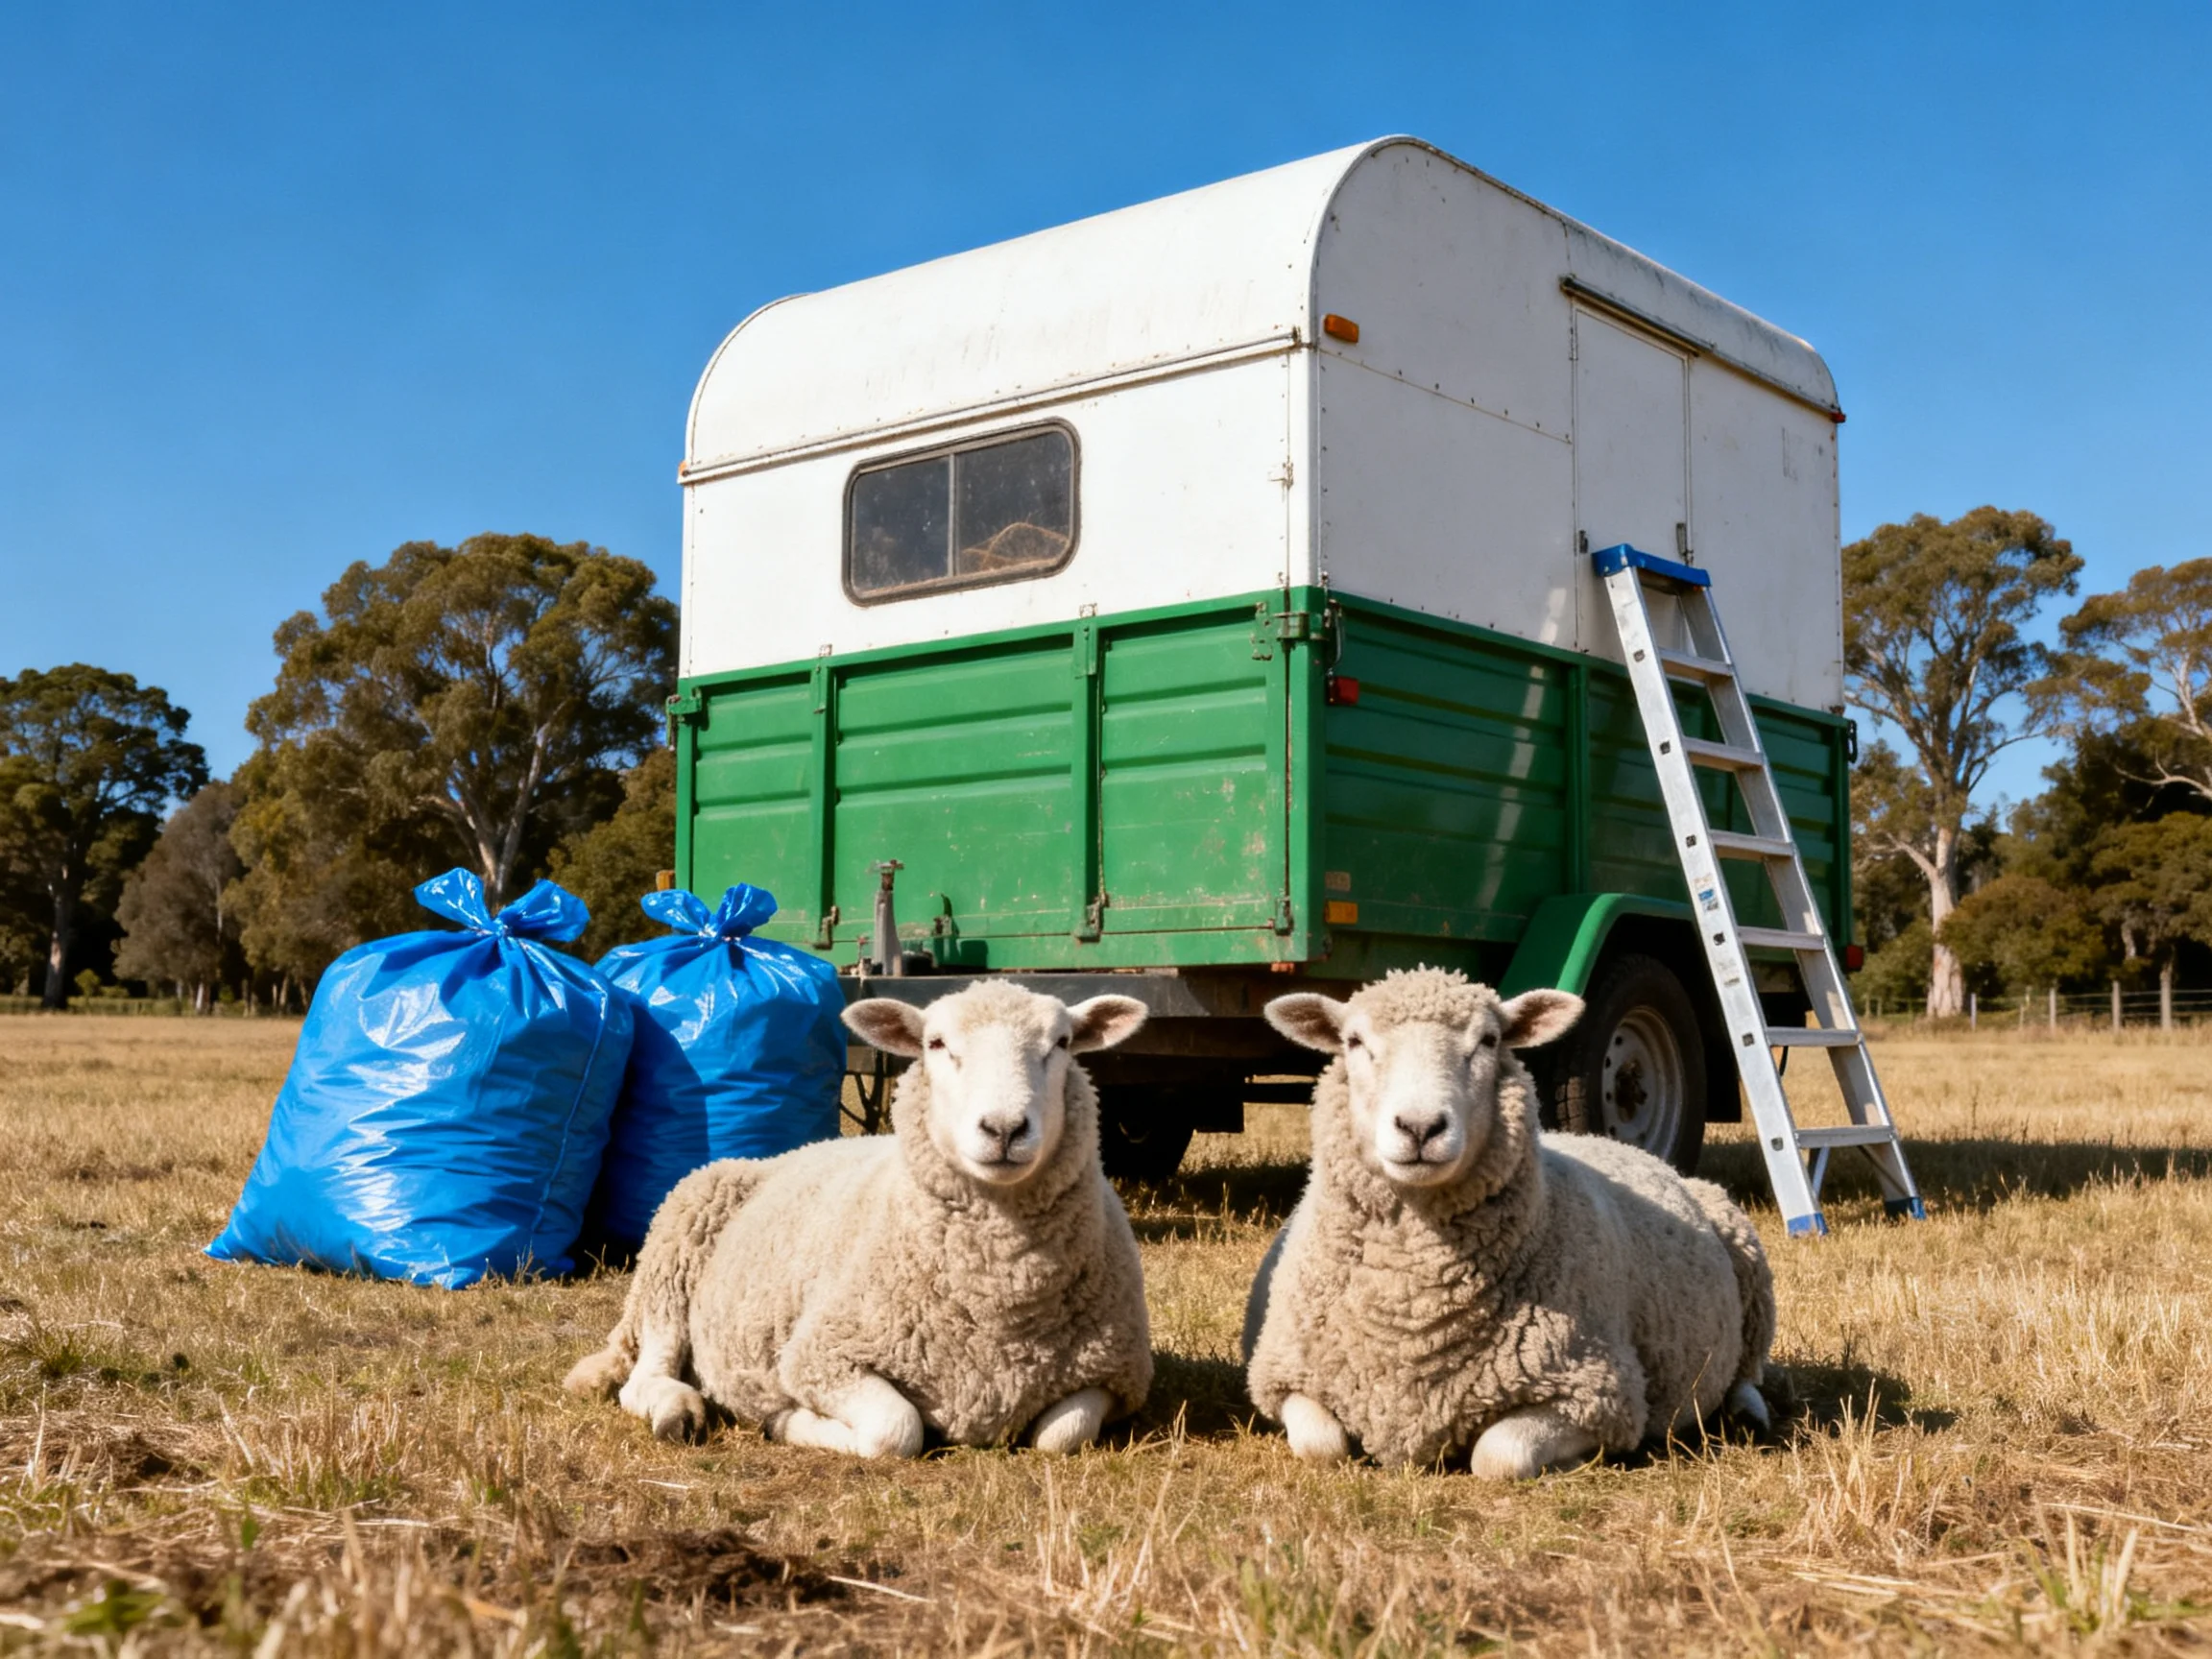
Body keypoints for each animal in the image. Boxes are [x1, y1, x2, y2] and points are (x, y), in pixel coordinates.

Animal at [564, 981, 1155, 1458]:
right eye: (936, 1044)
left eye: (1062, 1044)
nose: (1005, 1128)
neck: (1000, 1305)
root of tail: (776, 1156)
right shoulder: (819, 1356)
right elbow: (897, 1430)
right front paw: (788, 1422)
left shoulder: (1117, 1374)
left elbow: (1062, 1436)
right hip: (673, 1255)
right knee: (645, 1375)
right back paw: (677, 1409)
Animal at [1243, 967, 1775, 1478]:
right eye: (1354, 1041)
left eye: (1488, 1040)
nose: (1420, 1127)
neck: (1412, 1312)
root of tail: (1622, 1144)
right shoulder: (1283, 1374)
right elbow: (1323, 1448)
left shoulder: (1598, 1392)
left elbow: (1498, 1456)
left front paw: (1572, 1462)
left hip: (1747, 1263)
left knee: (1747, 1372)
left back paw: (1748, 1412)